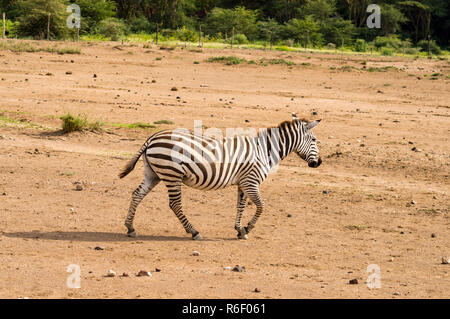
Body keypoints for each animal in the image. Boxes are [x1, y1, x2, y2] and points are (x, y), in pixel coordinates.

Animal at [118, 114, 322, 241]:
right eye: (314, 140)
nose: (319, 163)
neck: (265, 149)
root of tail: (151, 138)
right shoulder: (251, 181)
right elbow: (261, 206)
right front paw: (248, 228)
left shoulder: (243, 182)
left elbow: (241, 206)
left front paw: (239, 230)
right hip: (172, 174)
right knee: (175, 204)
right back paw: (194, 232)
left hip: (154, 174)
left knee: (137, 194)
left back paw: (130, 227)